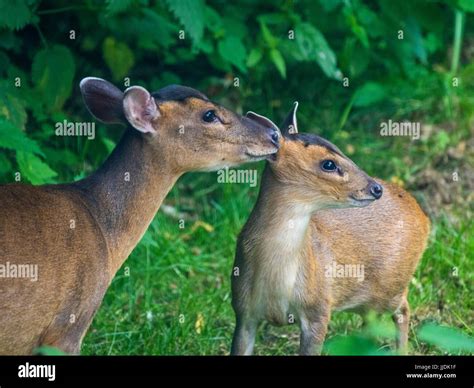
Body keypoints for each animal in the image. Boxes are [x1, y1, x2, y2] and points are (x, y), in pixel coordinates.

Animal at [231, 102, 432, 354]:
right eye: (328, 163)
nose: (375, 188)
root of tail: (423, 216)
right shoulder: (242, 310)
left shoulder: (318, 308)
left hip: (390, 287)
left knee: (403, 309)